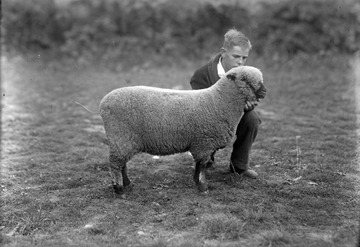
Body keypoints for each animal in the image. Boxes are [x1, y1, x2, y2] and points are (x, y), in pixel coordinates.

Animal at [100, 65, 266, 195]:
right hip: (120, 136)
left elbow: (199, 165)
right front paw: (203, 187)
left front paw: (197, 182)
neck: (219, 100)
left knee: (122, 164)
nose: (264, 91)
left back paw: (128, 184)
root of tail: (103, 102)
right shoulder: (204, 142)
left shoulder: (202, 143)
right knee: (115, 165)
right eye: (244, 79)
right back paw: (119, 189)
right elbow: (202, 166)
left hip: (124, 141)